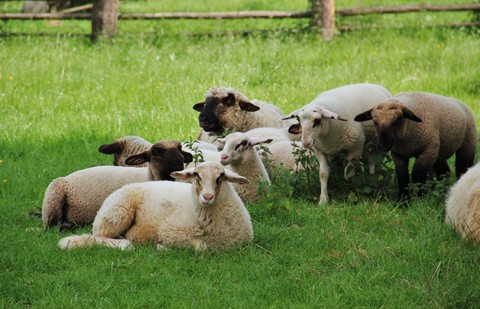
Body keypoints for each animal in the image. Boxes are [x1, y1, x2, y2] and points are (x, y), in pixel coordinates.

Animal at [40, 139, 191, 229]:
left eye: (180, 148)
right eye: (156, 152)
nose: (178, 162)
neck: (149, 177)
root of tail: (67, 177)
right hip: (53, 198)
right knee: (51, 225)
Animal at [59, 161, 255, 250]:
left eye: (220, 177)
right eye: (197, 176)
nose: (207, 197)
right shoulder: (170, 231)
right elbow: (202, 247)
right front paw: (162, 247)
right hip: (116, 213)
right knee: (98, 237)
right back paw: (124, 245)